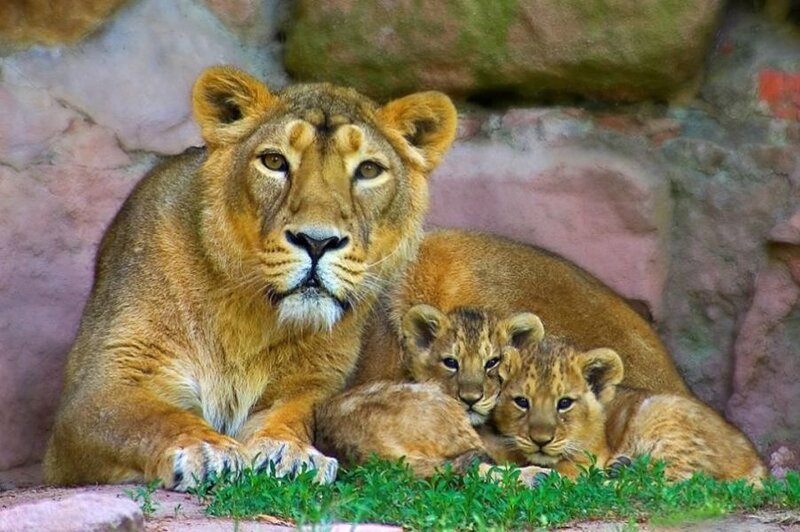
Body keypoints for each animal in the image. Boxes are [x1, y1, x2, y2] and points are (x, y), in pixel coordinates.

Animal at [43, 65, 458, 491]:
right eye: (274, 161)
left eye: (368, 170)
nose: (317, 241)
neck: (249, 314)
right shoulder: (103, 385)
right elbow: (152, 418)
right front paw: (207, 449)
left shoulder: (313, 384)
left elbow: (293, 415)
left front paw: (290, 452)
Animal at [493, 335, 767, 483]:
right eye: (522, 401)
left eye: (564, 403)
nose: (540, 440)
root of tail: (756, 462)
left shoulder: (587, 460)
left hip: (660, 416)